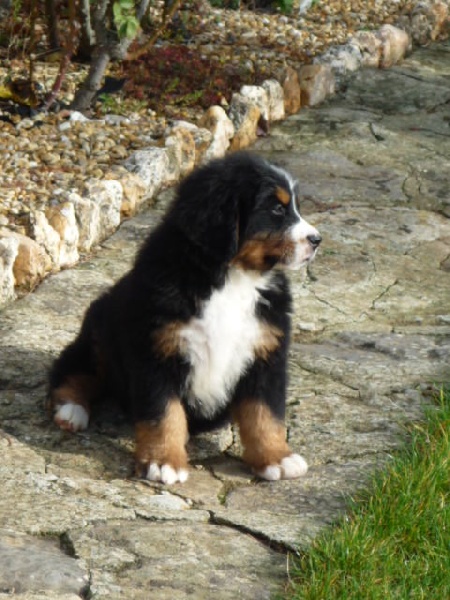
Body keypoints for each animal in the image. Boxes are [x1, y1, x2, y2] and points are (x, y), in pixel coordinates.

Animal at [49, 151, 321, 484]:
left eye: (294, 207)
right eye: (277, 208)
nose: (317, 240)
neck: (232, 277)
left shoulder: (266, 351)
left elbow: (264, 413)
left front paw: (277, 457)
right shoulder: (156, 352)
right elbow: (165, 414)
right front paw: (163, 461)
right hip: (99, 336)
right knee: (73, 370)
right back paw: (70, 410)